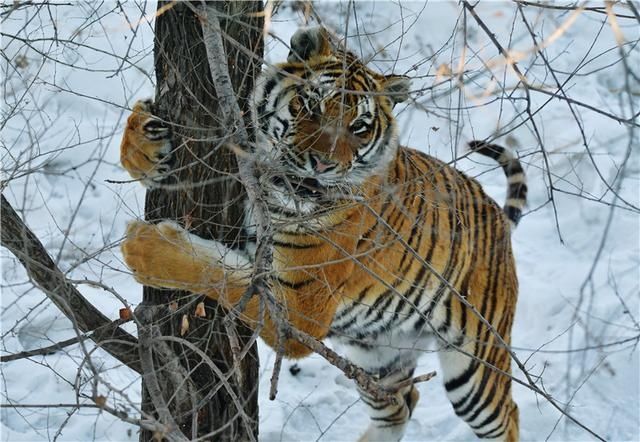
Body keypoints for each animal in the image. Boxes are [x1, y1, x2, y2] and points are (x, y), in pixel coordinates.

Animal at [119, 26, 524, 442]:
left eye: (359, 127)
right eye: (311, 106)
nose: (323, 164)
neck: (271, 185)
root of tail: (496, 216)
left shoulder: (297, 314)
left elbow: (218, 275)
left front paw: (144, 247)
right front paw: (146, 144)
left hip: (475, 367)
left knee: (506, 414)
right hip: (377, 354)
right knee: (399, 403)